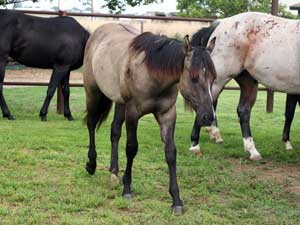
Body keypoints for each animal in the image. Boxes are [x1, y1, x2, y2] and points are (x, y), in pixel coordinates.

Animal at [83, 23, 217, 215]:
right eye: (194, 78)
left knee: (114, 131)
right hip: (92, 91)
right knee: (91, 124)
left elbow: (170, 152)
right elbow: (131, 148)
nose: (208, 117)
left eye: (213, 78)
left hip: (120, 102)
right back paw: (92, 164)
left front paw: (176, 200)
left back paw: (114, 173)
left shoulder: (167, 114)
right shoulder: (132, 113)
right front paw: (127, 189)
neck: (152, 73)